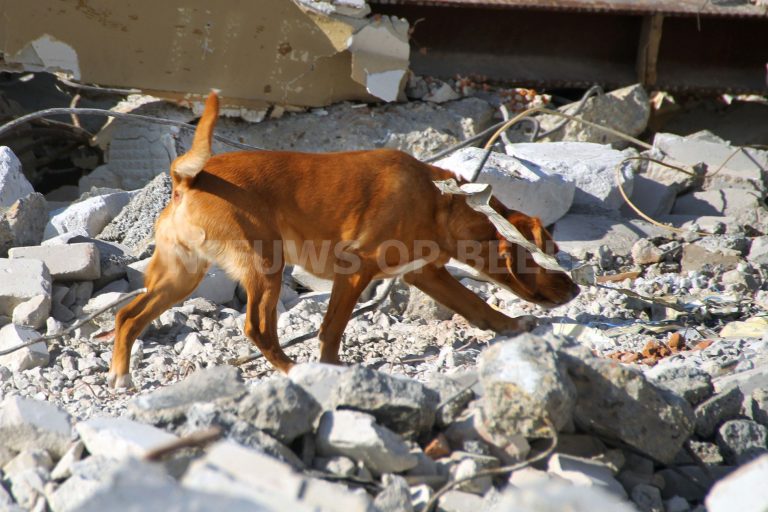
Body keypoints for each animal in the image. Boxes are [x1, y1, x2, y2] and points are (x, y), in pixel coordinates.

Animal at [106, 92, 576, 388]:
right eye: (550, 254)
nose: (574, 290)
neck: (440, 201)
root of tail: (189, 179)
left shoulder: (425, 273)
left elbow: (478, 306)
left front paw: (511, 326)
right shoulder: (354, 272)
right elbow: (331, 331)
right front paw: (333, 372)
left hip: (181, 277)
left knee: (128, 316)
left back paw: (121, 375)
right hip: (265, 267)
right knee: (257, 328)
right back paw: (292, 370)